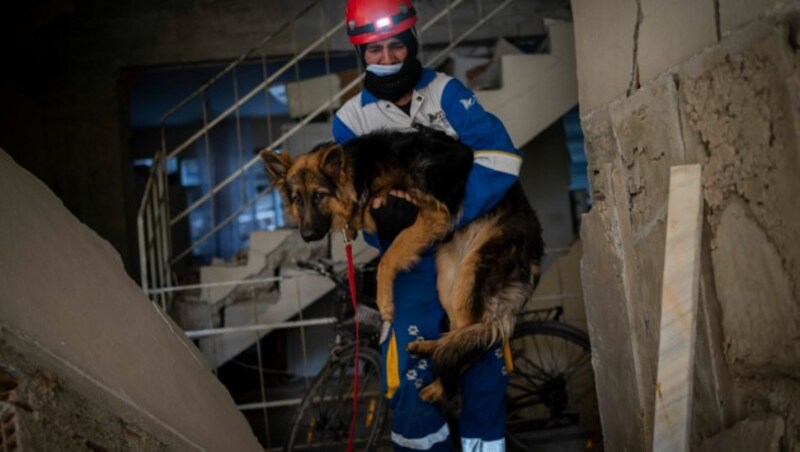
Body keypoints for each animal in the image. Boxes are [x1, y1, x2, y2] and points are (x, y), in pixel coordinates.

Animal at [262, 129, 544, 400]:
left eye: (319, 196)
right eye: (298, 199)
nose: (307, 235)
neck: (360, 173)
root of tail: (536, 251)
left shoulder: (430, 214)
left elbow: (387, 258)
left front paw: (384, 303)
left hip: (469, 280)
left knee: (470, 347)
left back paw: (439, 387)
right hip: (449, 281)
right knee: (460, 336)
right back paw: (429, 347)